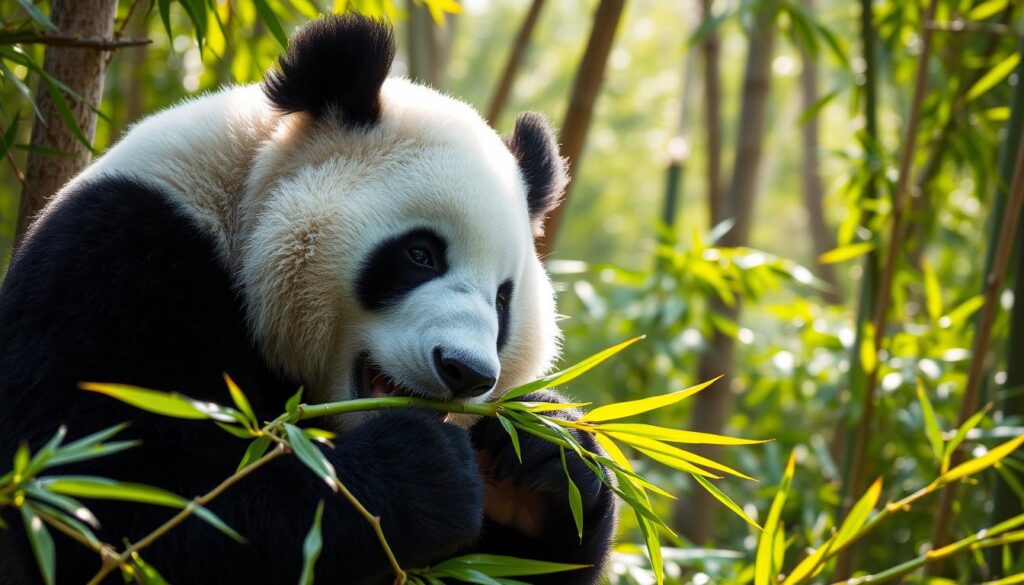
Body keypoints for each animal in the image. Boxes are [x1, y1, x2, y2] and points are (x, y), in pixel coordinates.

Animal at [0, 12, 614, 585]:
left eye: (503, 300)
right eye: (420, 254)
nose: (465, 371)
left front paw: (548, 457)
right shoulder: (110, 262)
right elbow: (115, 505)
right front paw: (423, 469)